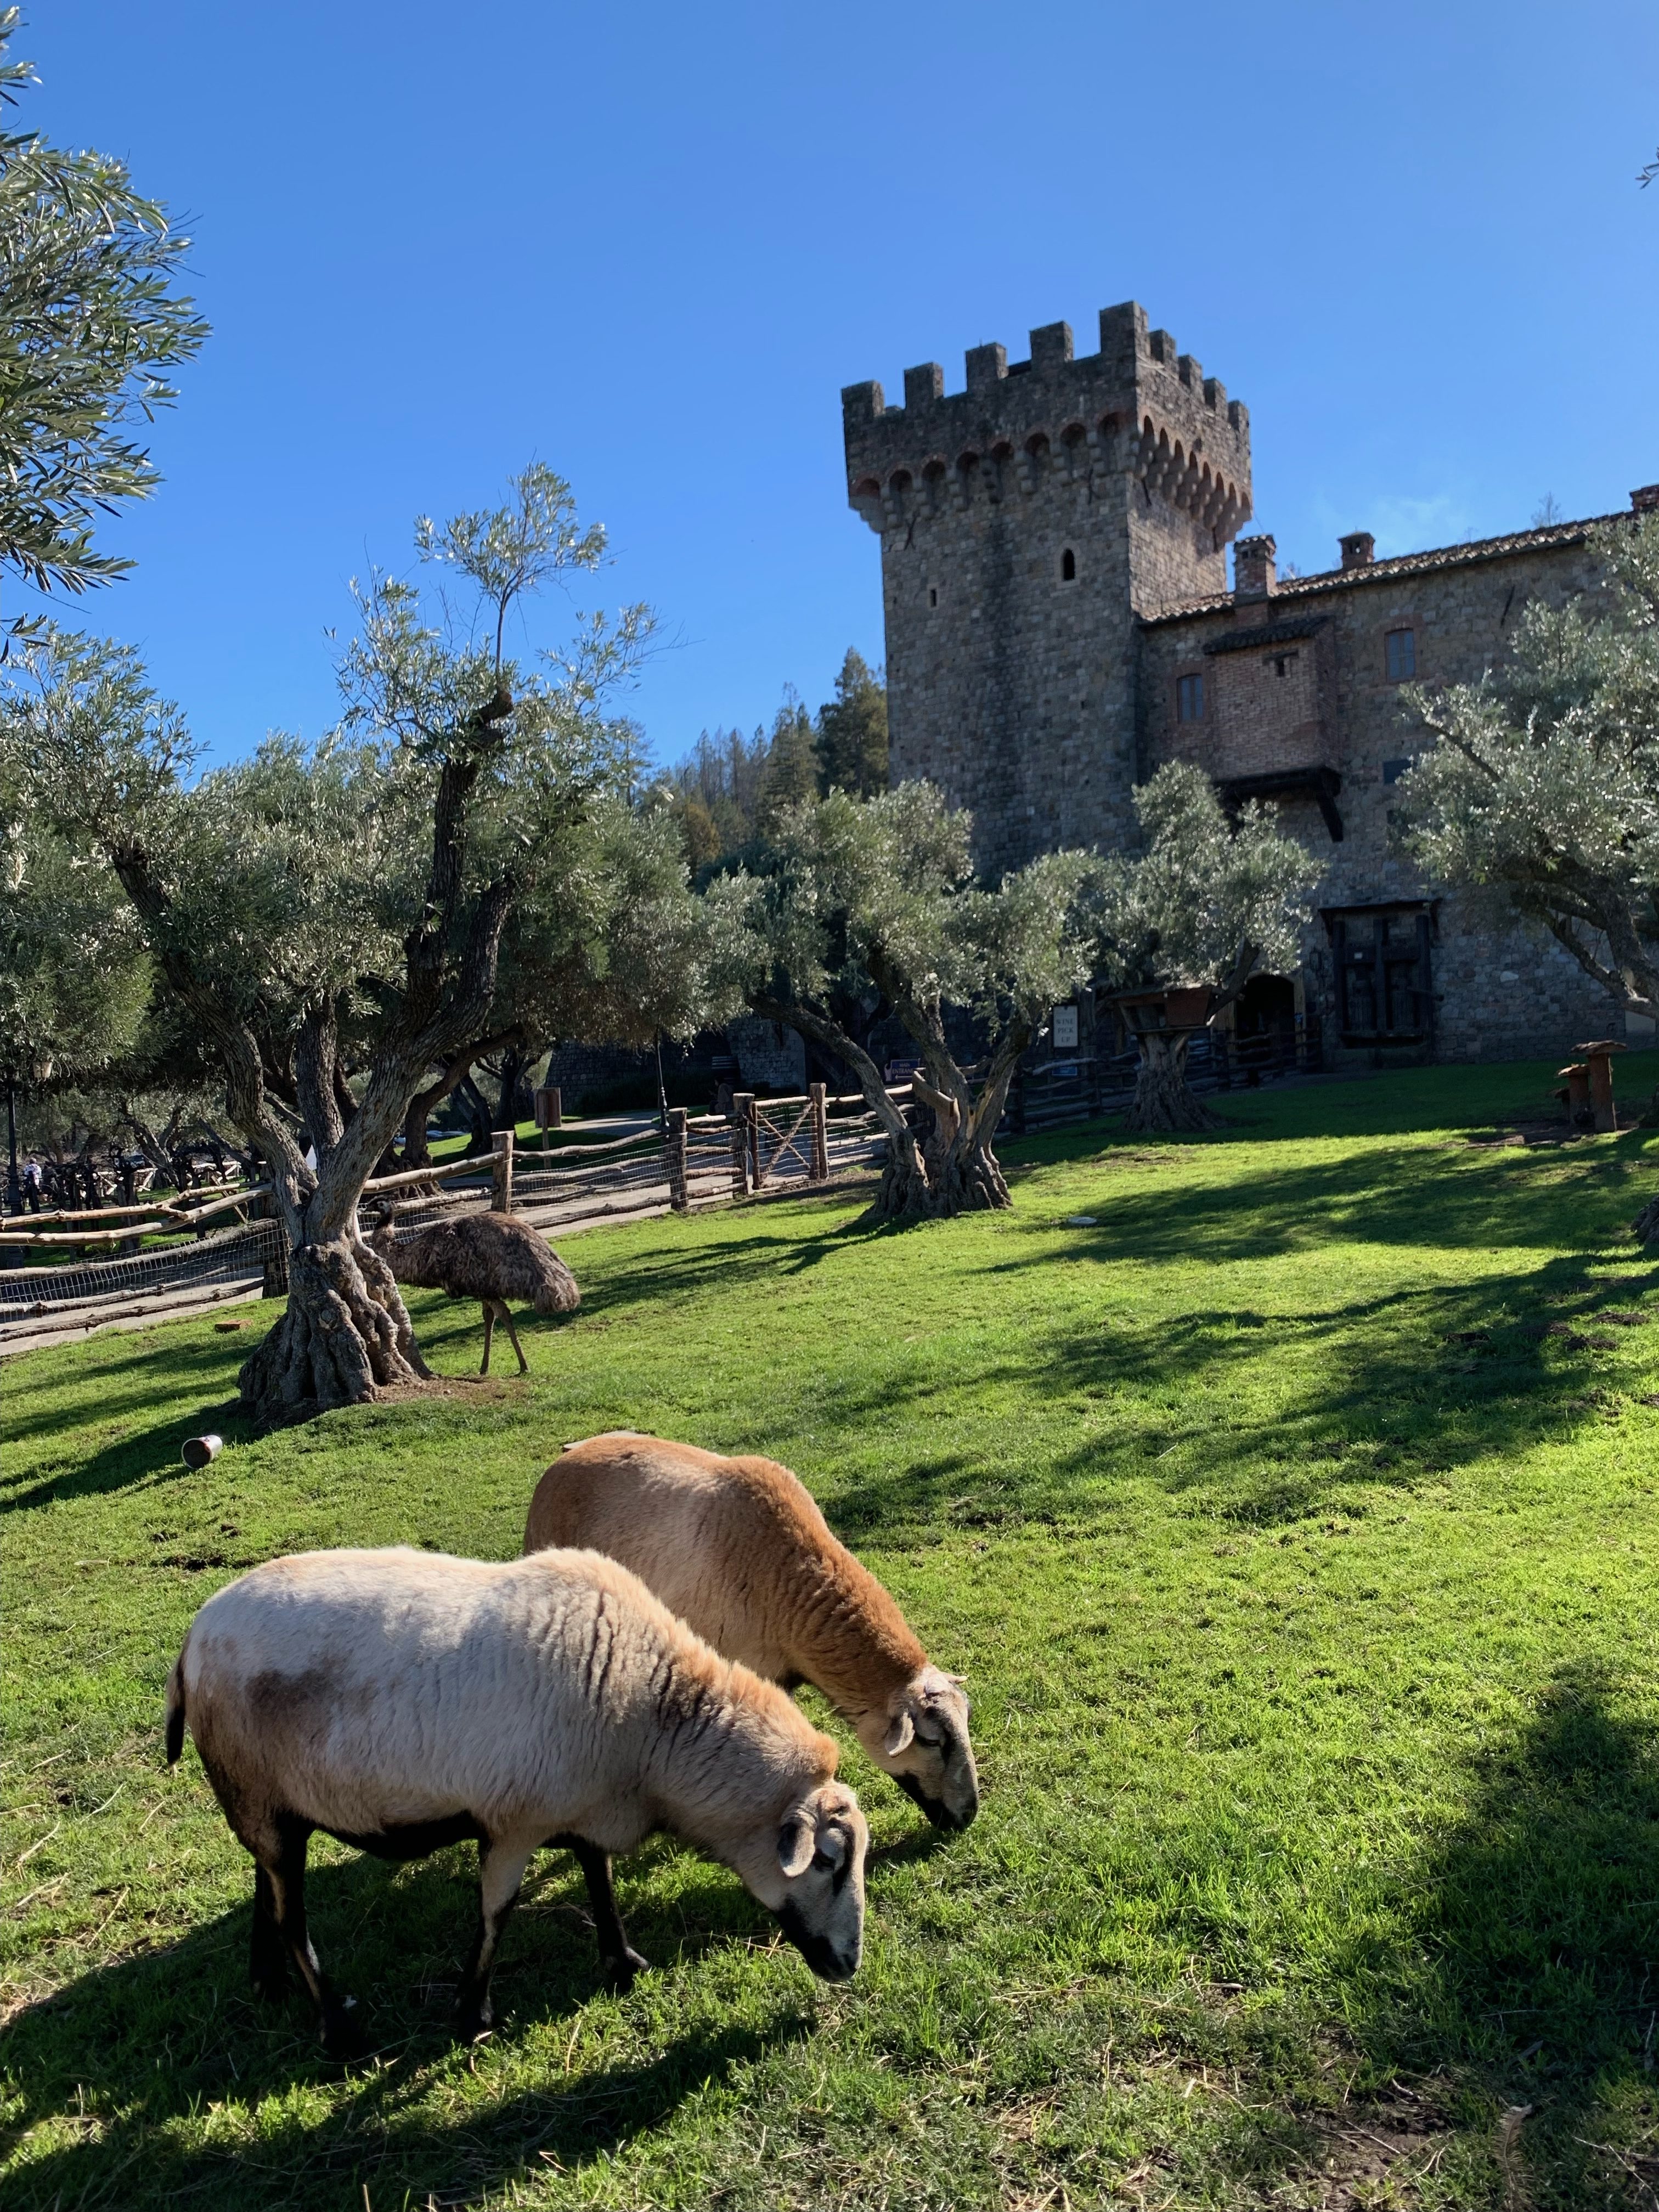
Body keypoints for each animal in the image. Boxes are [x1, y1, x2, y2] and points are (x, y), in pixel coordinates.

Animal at [163, 1548, 876, 2044]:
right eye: (827, 1860)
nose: (849, 1964)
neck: (653, 1725)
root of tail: (192, 1638)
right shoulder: (512, 1824)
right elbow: (496, 1915)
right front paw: (472, 2013)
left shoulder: (583, 1805)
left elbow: (599, 1877)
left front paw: (623, 1961)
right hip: (255, 1791)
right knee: (292, 1916)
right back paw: (337, 2029)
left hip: (265, 1799)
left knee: (264, 1881)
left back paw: (268, 1981)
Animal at [374, 1203, 579, 1371]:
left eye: (377, 1202)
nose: (367, 1205)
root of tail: (563, 1288)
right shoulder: (485, 1291)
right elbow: (488, 1316)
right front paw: (484, 1367)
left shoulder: (479, 1288)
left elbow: (499, 1314)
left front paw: (509, 1366)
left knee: (505, 1312)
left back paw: (524, 1366)